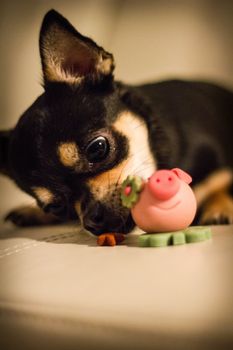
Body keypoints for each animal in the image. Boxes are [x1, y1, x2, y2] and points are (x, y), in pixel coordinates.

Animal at [0, 10, 233, 235]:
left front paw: (220, 206)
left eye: (97, 149)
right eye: (55, 207)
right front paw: (32, 211)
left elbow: (223, 184)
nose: (92, 221)